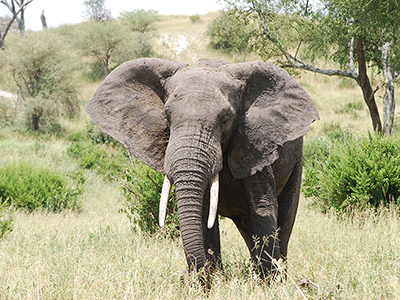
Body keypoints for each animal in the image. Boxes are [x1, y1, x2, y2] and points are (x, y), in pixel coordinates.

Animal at [86, 56, 318, 284]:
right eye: (167, 117)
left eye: (225, 119)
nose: (187, 277)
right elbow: (204, 214)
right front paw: (210, 280)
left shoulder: (253, 144)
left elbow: (261, 208)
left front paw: (269, 284)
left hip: (296, 161)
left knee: (284, 222)